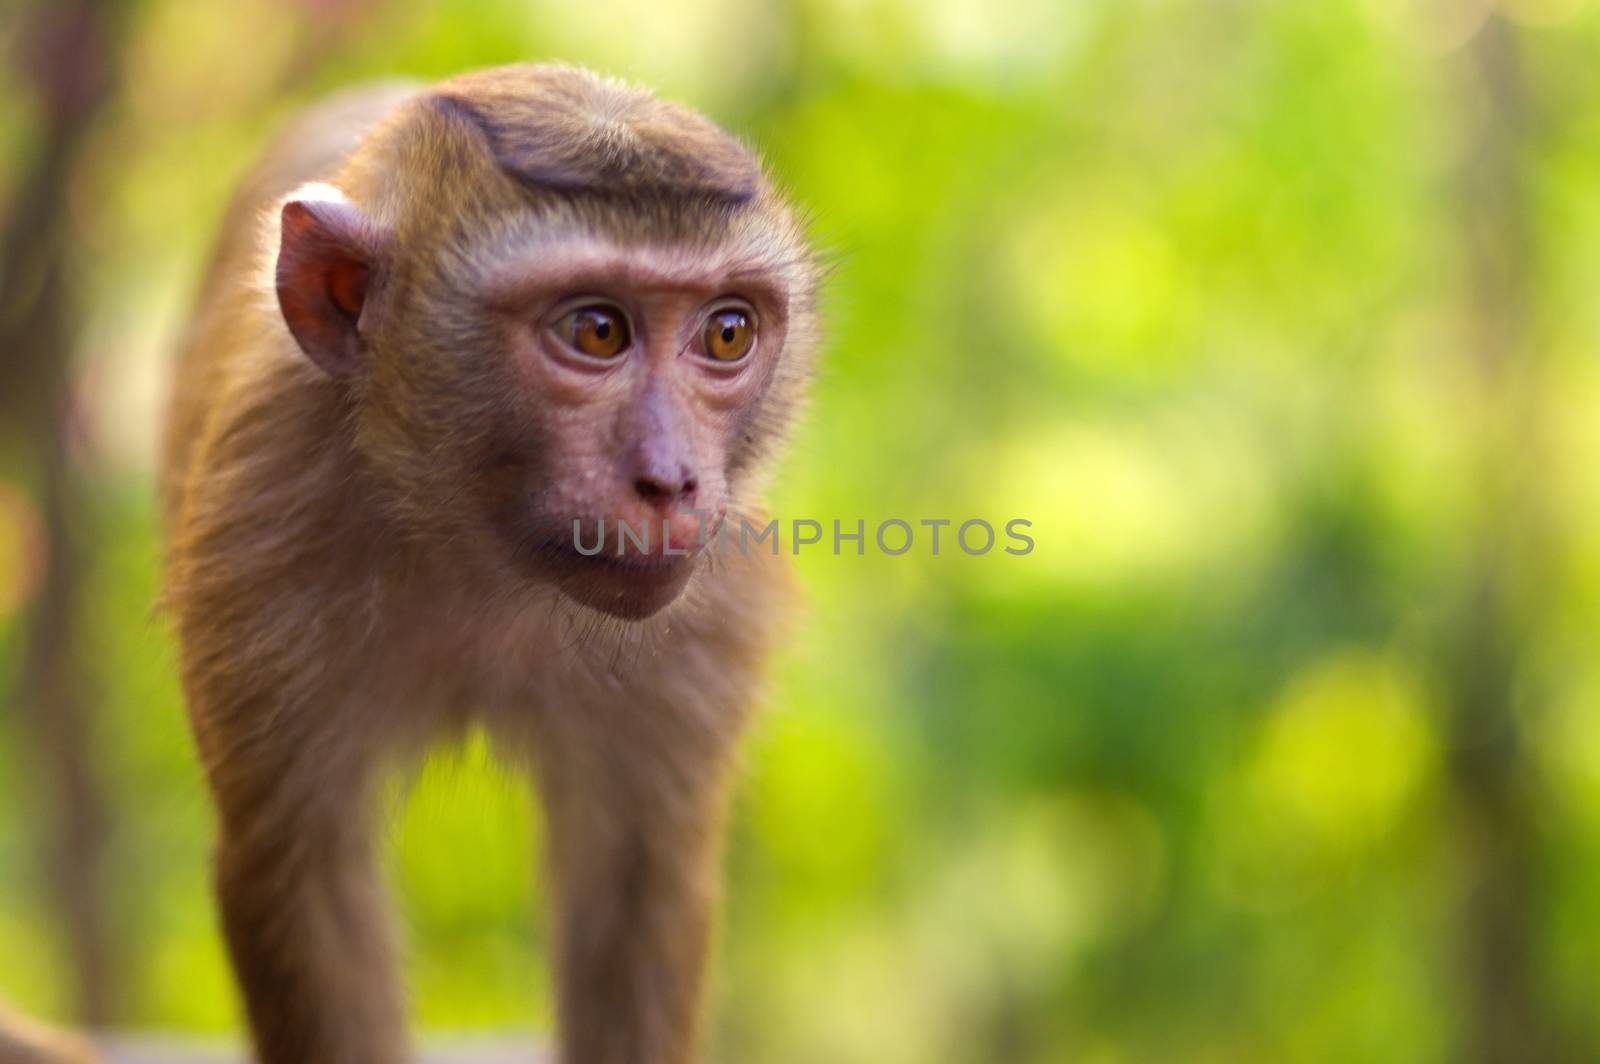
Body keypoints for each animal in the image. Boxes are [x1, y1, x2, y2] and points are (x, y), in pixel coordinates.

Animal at [156, 60, 819, 1062]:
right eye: (596, 332)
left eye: (728, 333)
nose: (672, 481)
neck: (480, 546)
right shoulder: (258, 524)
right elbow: (305, 873)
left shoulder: (706, 614)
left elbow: (633, 890)